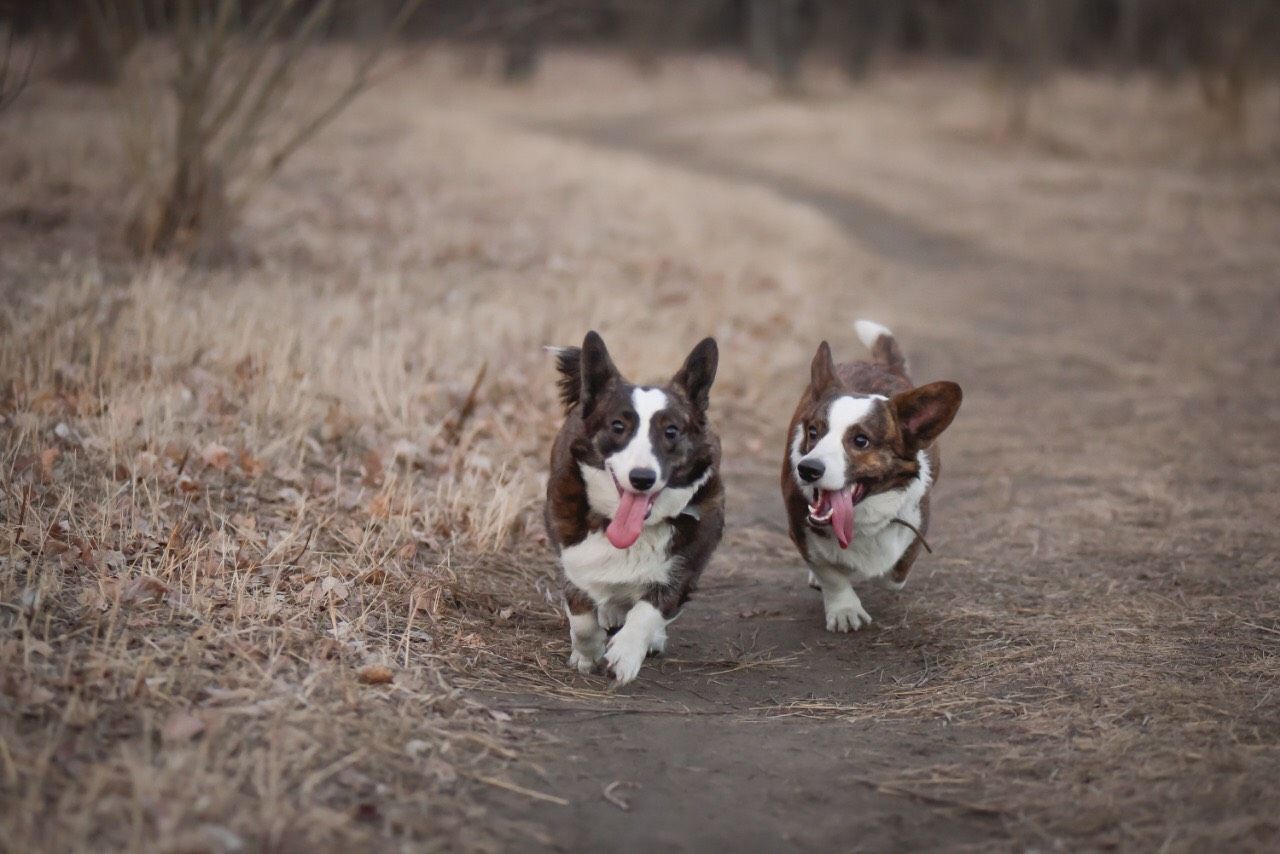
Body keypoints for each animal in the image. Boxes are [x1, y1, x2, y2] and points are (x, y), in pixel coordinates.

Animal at [545, 330, 727, 686]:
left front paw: (626, 654)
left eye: (671, 431)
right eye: (618, 426)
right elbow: (582, 617)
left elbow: (648, 612)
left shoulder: (683, 570)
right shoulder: (573, 561)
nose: (642, 478)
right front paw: (586, 654)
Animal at [778, 323, 962, 632]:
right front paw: (845, 610)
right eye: (814, 432)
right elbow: (829, 572)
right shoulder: (801, 528)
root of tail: (879, 364)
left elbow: (897, 570)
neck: (860, 513)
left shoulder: (918, 521)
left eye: (861, 441)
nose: (807, 469)